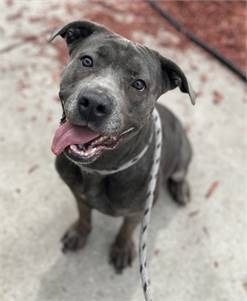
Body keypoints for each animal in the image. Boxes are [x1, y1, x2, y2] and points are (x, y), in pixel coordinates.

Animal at [49, 19, 195, 274]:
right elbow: (84, 215)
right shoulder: (77, 194)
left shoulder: (137, 211)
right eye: (87, 61)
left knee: (181, 174)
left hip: (182, 159)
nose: (94, 102)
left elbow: (127, 229)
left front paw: (121, 248)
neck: (99, 169)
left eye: (139, 84)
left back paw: (181, 189)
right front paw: (80, 233)